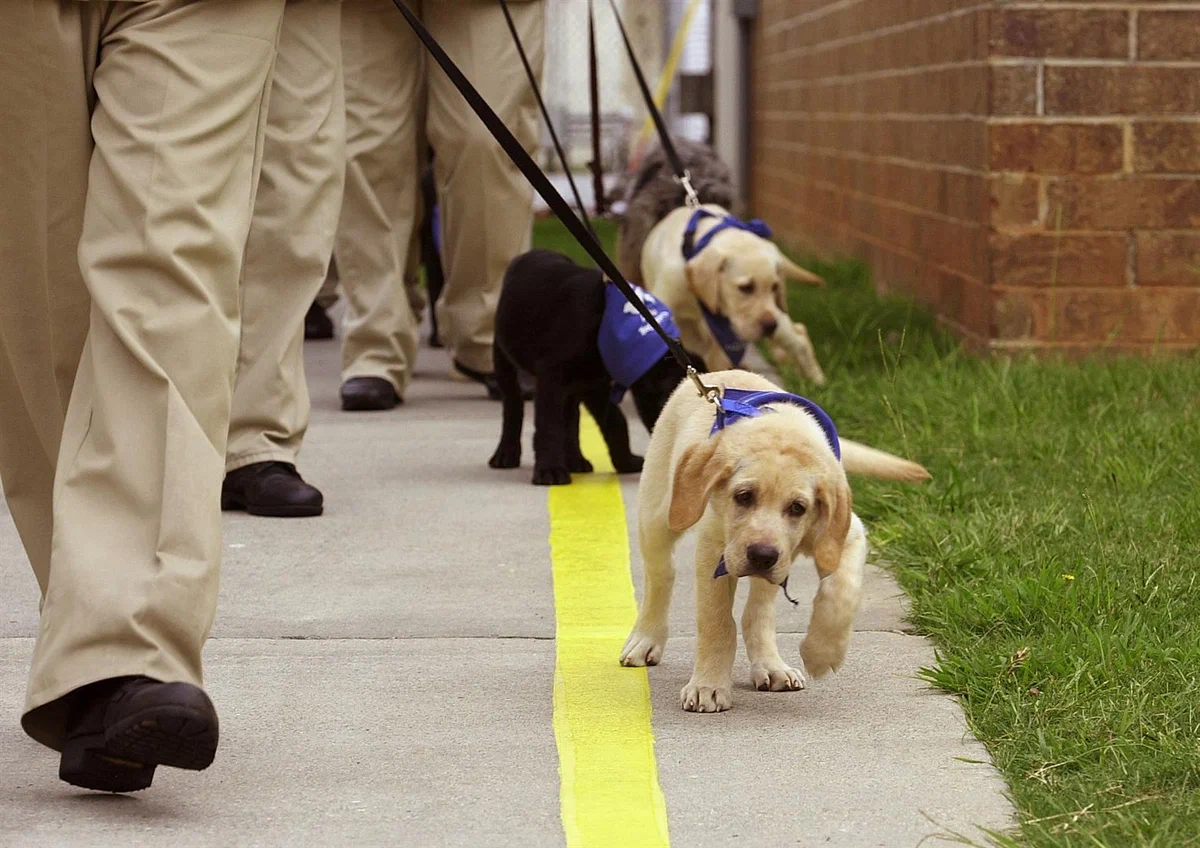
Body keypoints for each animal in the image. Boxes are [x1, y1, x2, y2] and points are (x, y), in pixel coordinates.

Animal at [492, 247, 705, 484]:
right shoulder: (552, 379)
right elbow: (550, 425)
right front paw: (550, 470)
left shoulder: (594, 383)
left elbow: (614, 420)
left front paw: (625, 461)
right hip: (504, 359)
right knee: (513, 406)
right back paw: (506, 454)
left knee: (571, 417)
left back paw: (575, 460)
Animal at [619, 374, 926, 714]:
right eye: (743, 496)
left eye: (798, 508)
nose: (762, 555)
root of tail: (711, 377)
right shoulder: (713, 550)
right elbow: (716, 622)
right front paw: (708, 685)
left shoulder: (844, 534)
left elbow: (841, 592)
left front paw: (822, 653)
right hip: (659, 515)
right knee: (660, 576)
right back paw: (646, 639)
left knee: (758, 611)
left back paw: (771, 665)